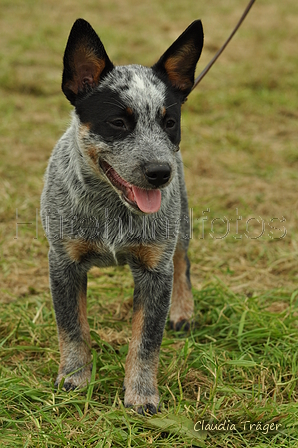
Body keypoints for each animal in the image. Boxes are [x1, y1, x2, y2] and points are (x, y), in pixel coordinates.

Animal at [40, 19, 204, 414]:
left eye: (170, 122)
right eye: (118, 122)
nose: (160, 172)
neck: (112, 209)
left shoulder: (154, 270)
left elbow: (146, 340)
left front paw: (142, 395)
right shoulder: (63, 263)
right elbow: (72, 327)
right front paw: (75, 378)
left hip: (181, 221)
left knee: (183, 262)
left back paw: (183, 311)